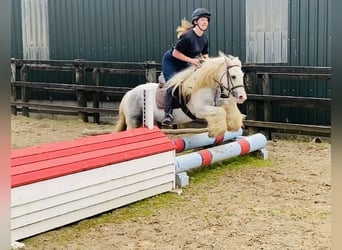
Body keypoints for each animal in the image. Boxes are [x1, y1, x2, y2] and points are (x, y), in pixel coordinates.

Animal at [114, 51, 246, 137]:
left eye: (242, 75)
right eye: (233, 76)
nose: (242, 97)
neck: (204, 85)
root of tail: (129, 93)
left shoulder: (217, 103)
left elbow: (229, 106)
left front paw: (233, 125)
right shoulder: (201, 110)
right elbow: (221, 112)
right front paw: (216, 132)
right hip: (134, 120)